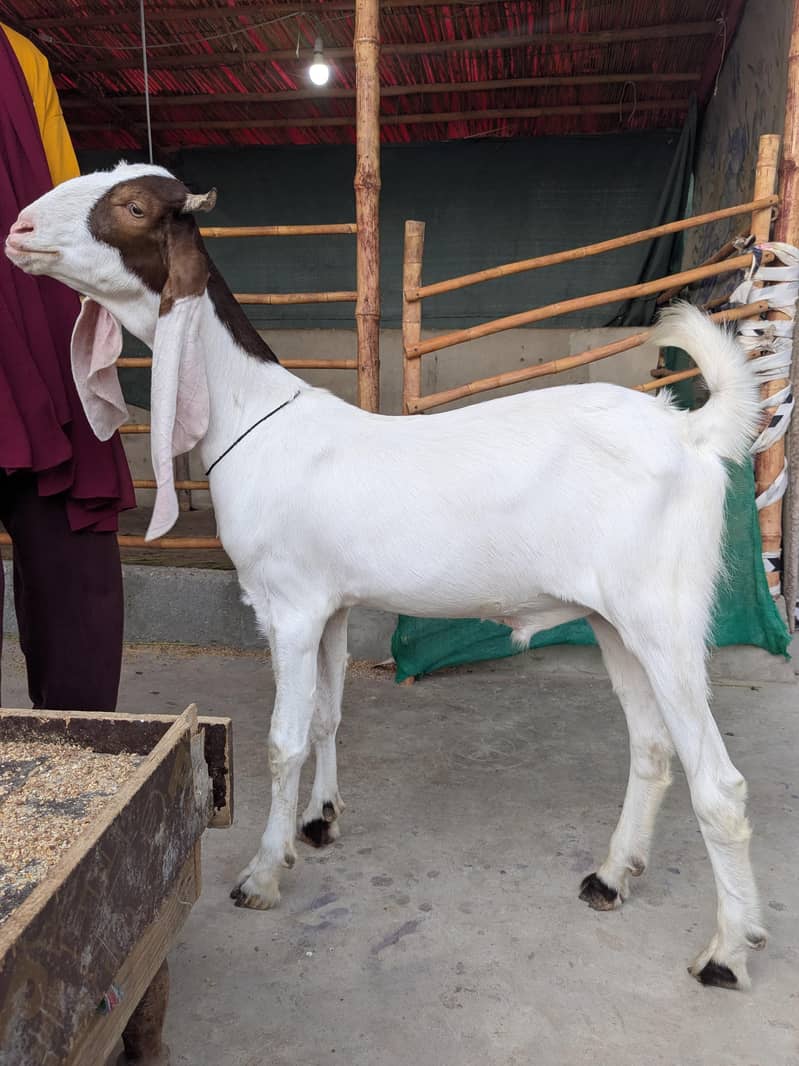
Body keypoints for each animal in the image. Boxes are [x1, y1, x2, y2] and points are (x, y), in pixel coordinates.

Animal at [5, 163, 768, 989]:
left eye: (135, 205)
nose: (20, 230)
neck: (253, 418)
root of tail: (690, 432)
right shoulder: (332, 605)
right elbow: (328, 716)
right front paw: (319, 821)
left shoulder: (289, 607)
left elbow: (283, 738)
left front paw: (263, 872)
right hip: (612, 619)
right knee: (653, 749)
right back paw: (611, 875)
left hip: (663, 613)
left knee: (719, 782)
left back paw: (727, 950)